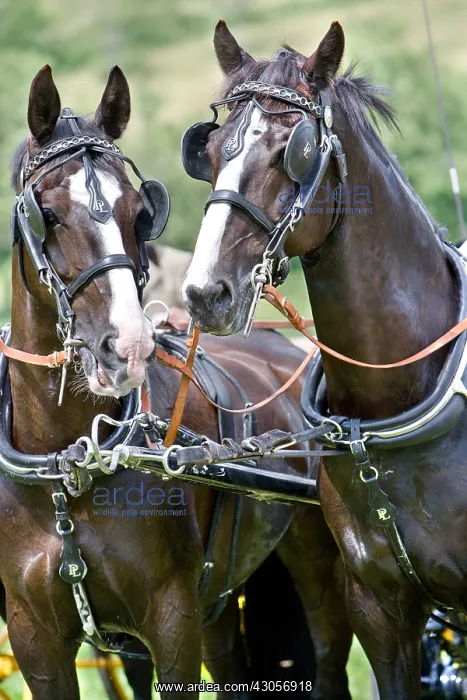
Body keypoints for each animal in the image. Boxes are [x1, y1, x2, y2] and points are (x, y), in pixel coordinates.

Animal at [0, 63, 353, 700]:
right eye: (48, 212)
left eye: (139, 210)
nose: (127, 345)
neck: (66, 466)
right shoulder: (34, 638)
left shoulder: (170, 618)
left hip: (318, 567)